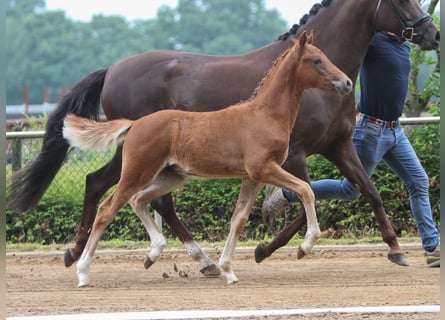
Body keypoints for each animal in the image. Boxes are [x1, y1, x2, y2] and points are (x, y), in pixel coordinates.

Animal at [6, 0, 438, 272]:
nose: (432, 34)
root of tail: (112, 68)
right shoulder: (296, 153)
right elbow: (304, 200)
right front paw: (267, 248)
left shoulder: (339, 145)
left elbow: (368, 190)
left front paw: (397, 249)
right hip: (139, 154)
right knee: (113, 188)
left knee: (117, 190)